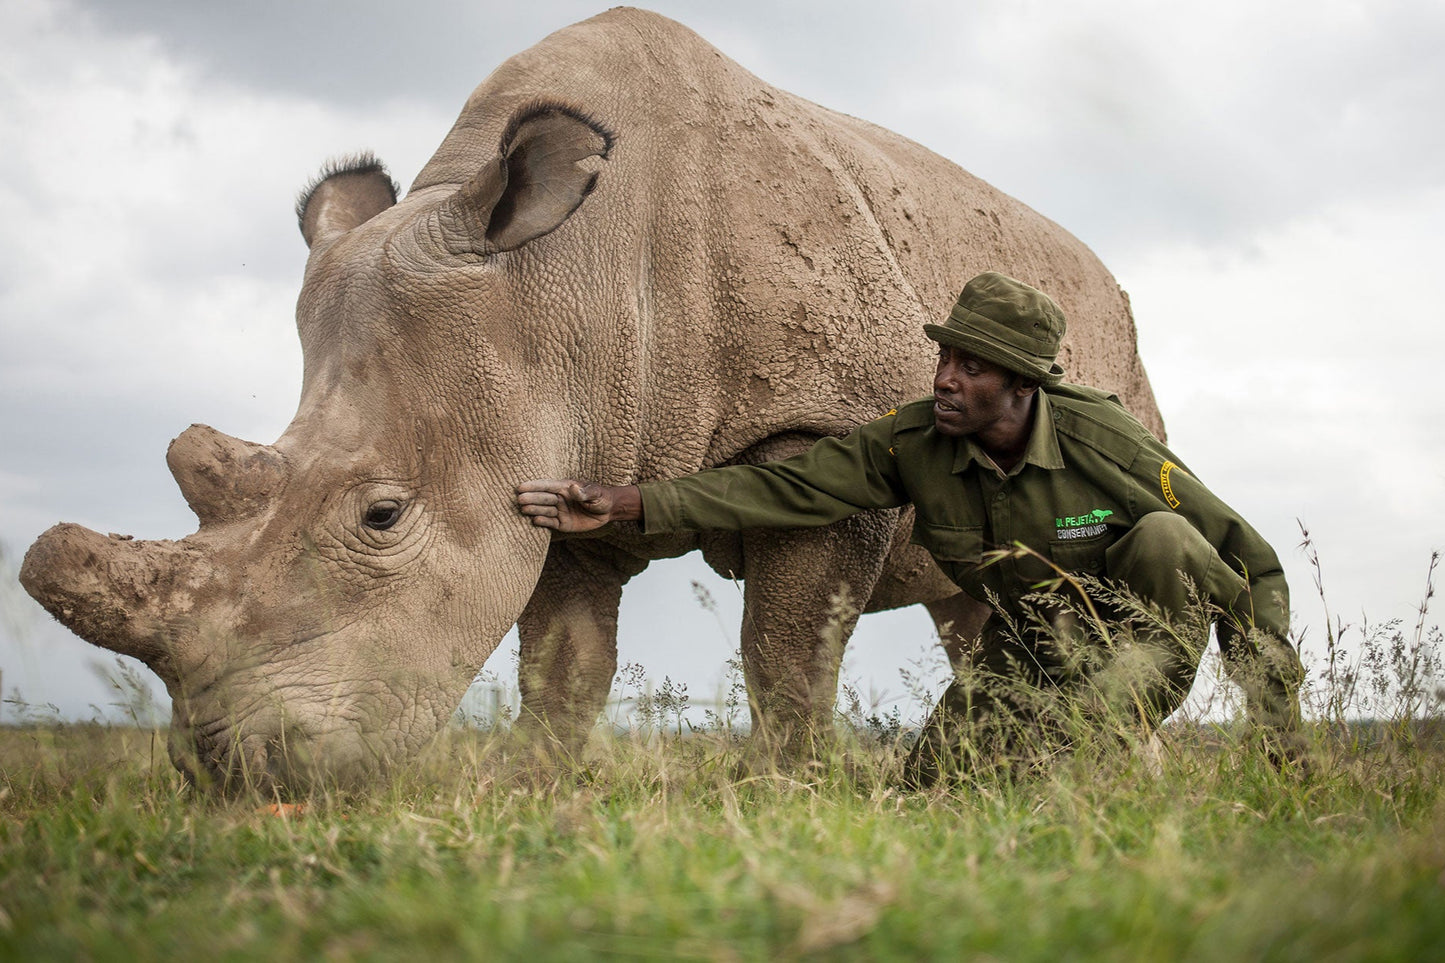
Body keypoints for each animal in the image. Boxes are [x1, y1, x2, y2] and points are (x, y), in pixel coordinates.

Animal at [19, 9, 1161, 786]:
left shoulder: (822, 421)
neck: (566, 276)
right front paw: (536, 786)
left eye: (380, 515)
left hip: (1113, 345)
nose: (233, 769)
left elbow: (788, 644)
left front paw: (787, 789)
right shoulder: (560, 437)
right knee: (976, 603)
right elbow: (563, 658)